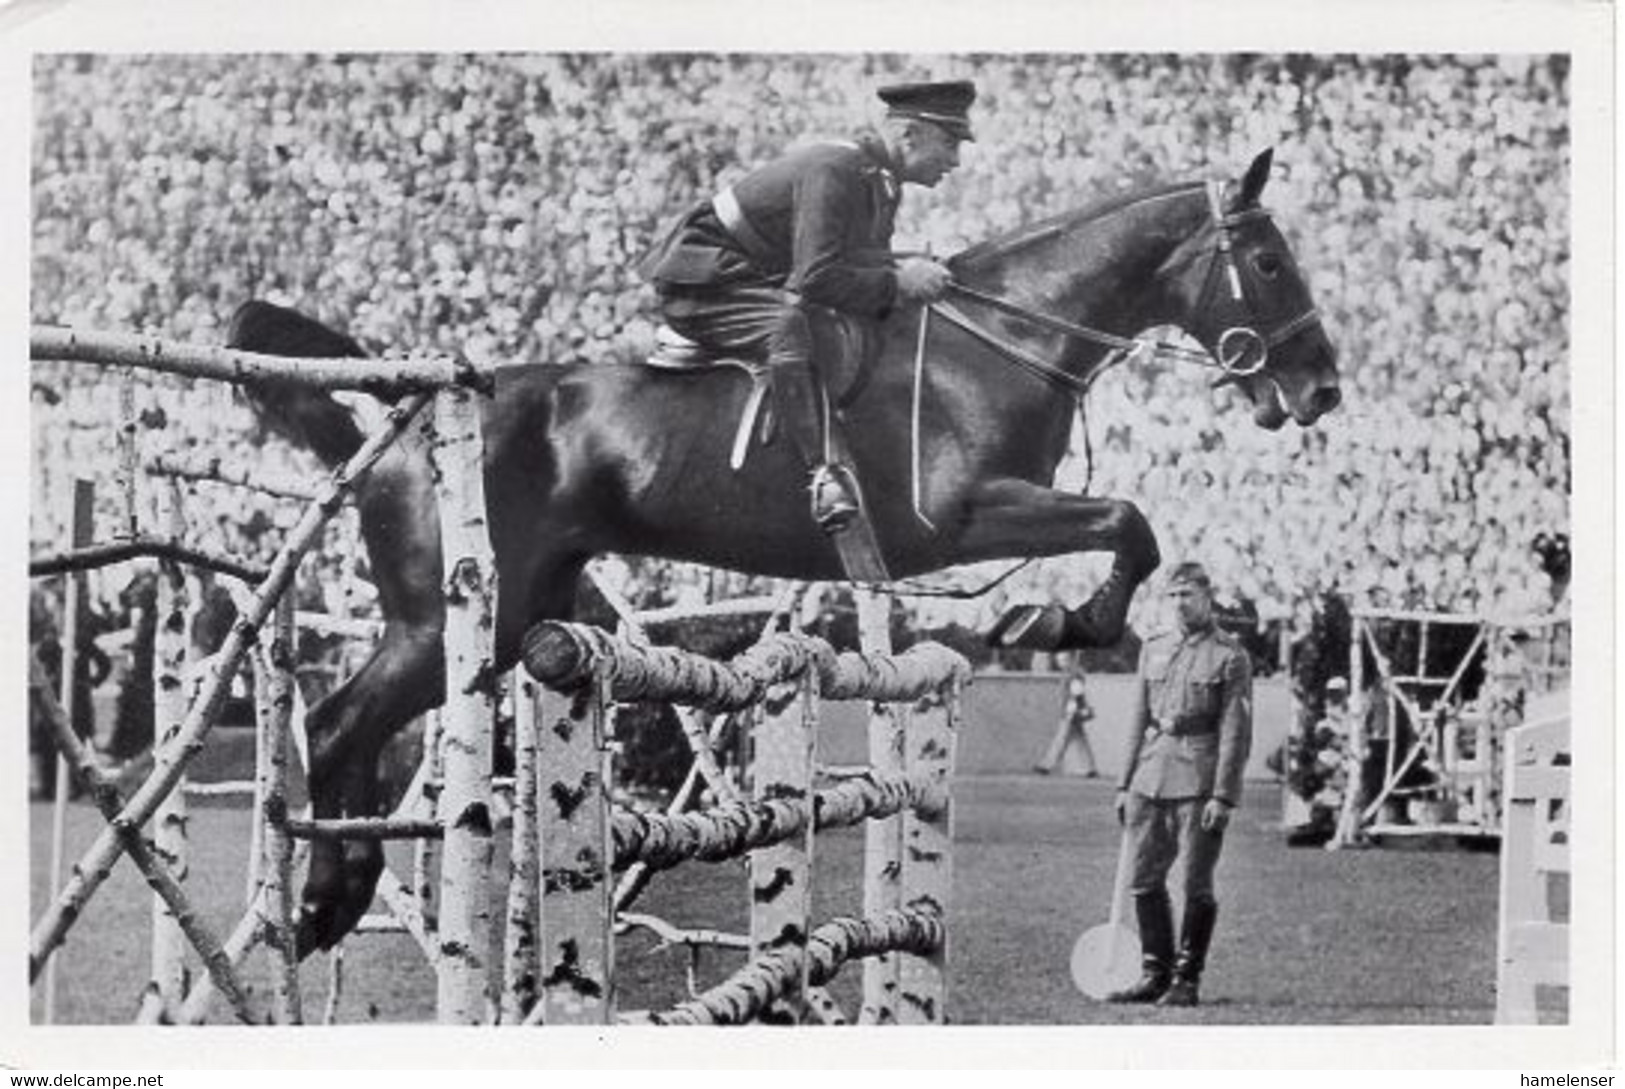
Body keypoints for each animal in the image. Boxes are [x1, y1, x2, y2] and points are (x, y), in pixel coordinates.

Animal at [229, 147, 1345, 955]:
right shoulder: (966, 515)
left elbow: (1126, 523)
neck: (1001, 342)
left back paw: (340, 891)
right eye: (1269, 260)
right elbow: (1127, 522)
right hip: (446, 619)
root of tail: (407, 411)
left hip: (503, 619)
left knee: (356, 731)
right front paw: (1057, 618)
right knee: (334, 724)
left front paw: (1049, 614)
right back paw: (326, 894)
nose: (1320, 389)